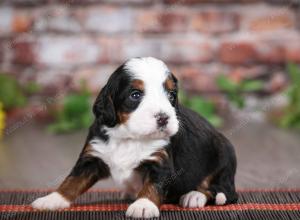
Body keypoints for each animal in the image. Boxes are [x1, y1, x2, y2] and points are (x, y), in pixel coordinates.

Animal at [32, 56, 239, 218]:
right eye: (135, 95)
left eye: (171, 95)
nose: (163, 117)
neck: (130, 137)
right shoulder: (92, 157)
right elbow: (72, 181)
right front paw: (51, 199)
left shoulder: (160, 161)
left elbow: (153, 186)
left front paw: (143, 205)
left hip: (224, 157)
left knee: (222, 191)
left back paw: (194, 196)